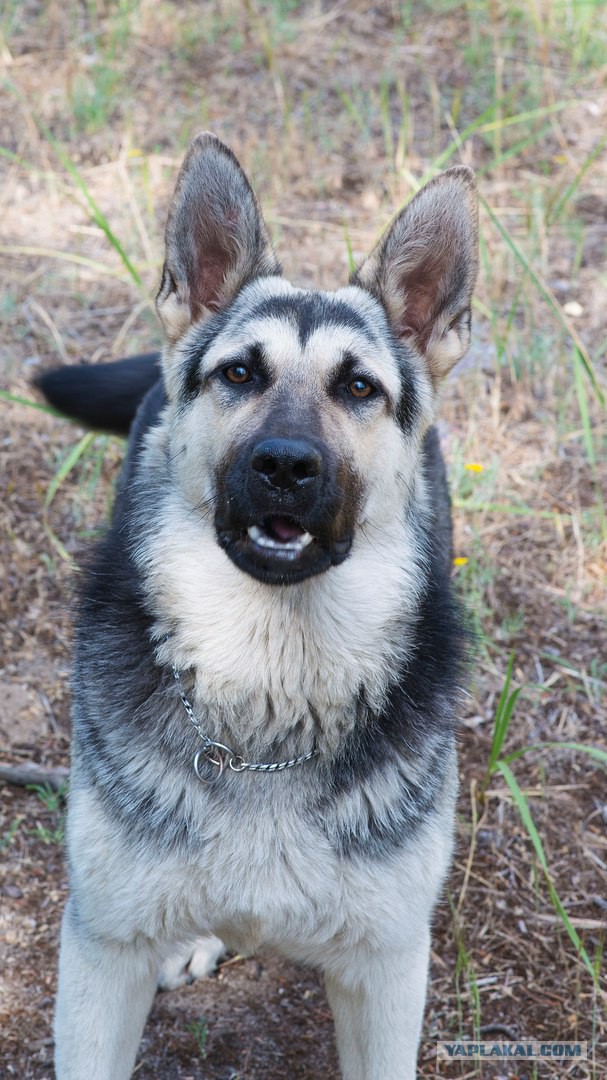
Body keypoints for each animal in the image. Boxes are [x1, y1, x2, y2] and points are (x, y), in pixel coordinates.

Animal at [36, 135, 477, 1080]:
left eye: (359, 389)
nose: (283, 465)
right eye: (239, 373)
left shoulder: (386, 969)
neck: (268, 686)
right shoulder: (100, 954)